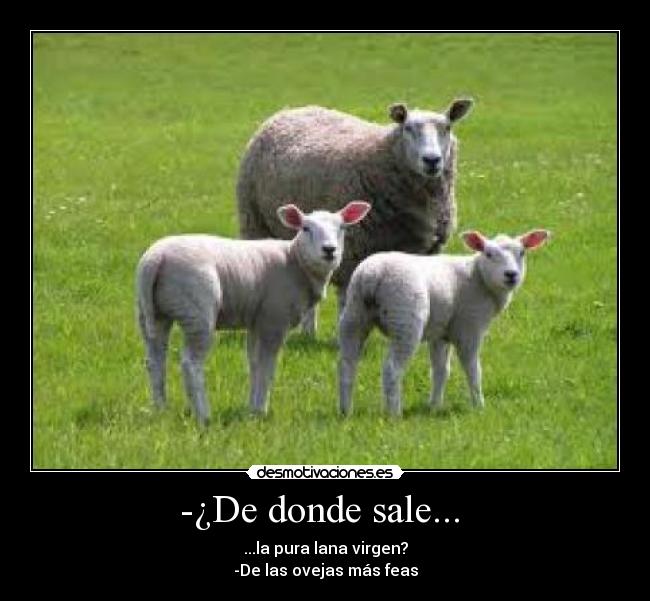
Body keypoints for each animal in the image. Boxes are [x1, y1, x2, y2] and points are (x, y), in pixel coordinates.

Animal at [136, 201, 371, 425]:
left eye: (341, 227)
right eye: (306, 228)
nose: (329, 250)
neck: (295, 262)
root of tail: (156, 257)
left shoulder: (257, 320)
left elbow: (254, 364)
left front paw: (251, 409)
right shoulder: (274, 319)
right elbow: (267, 367)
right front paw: (260, 411)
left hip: (152, 313)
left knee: (155, 361)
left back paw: (161, 409)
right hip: (197, 311)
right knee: (190, 364)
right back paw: (204, 416)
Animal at [236, 98, 474, 336]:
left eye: (447, 127)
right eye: (407, 128)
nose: (432, 160)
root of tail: (291, 110)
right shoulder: (351, 252)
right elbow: (346, 300)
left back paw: (308, 332)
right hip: (255, 222)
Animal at [338, 229, 551, 416]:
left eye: (522, 253)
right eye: (489, 254)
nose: (511, 275)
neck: (478, 278)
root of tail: (372, 275)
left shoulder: (440, 333)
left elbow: (440, 370)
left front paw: (434, 406)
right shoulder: (469, 327)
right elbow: (473, 369)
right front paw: (479, 406)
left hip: (354, 314)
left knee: (347, 365)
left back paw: (346, 411)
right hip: (405, 319)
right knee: (392, 369)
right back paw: (394, 413)